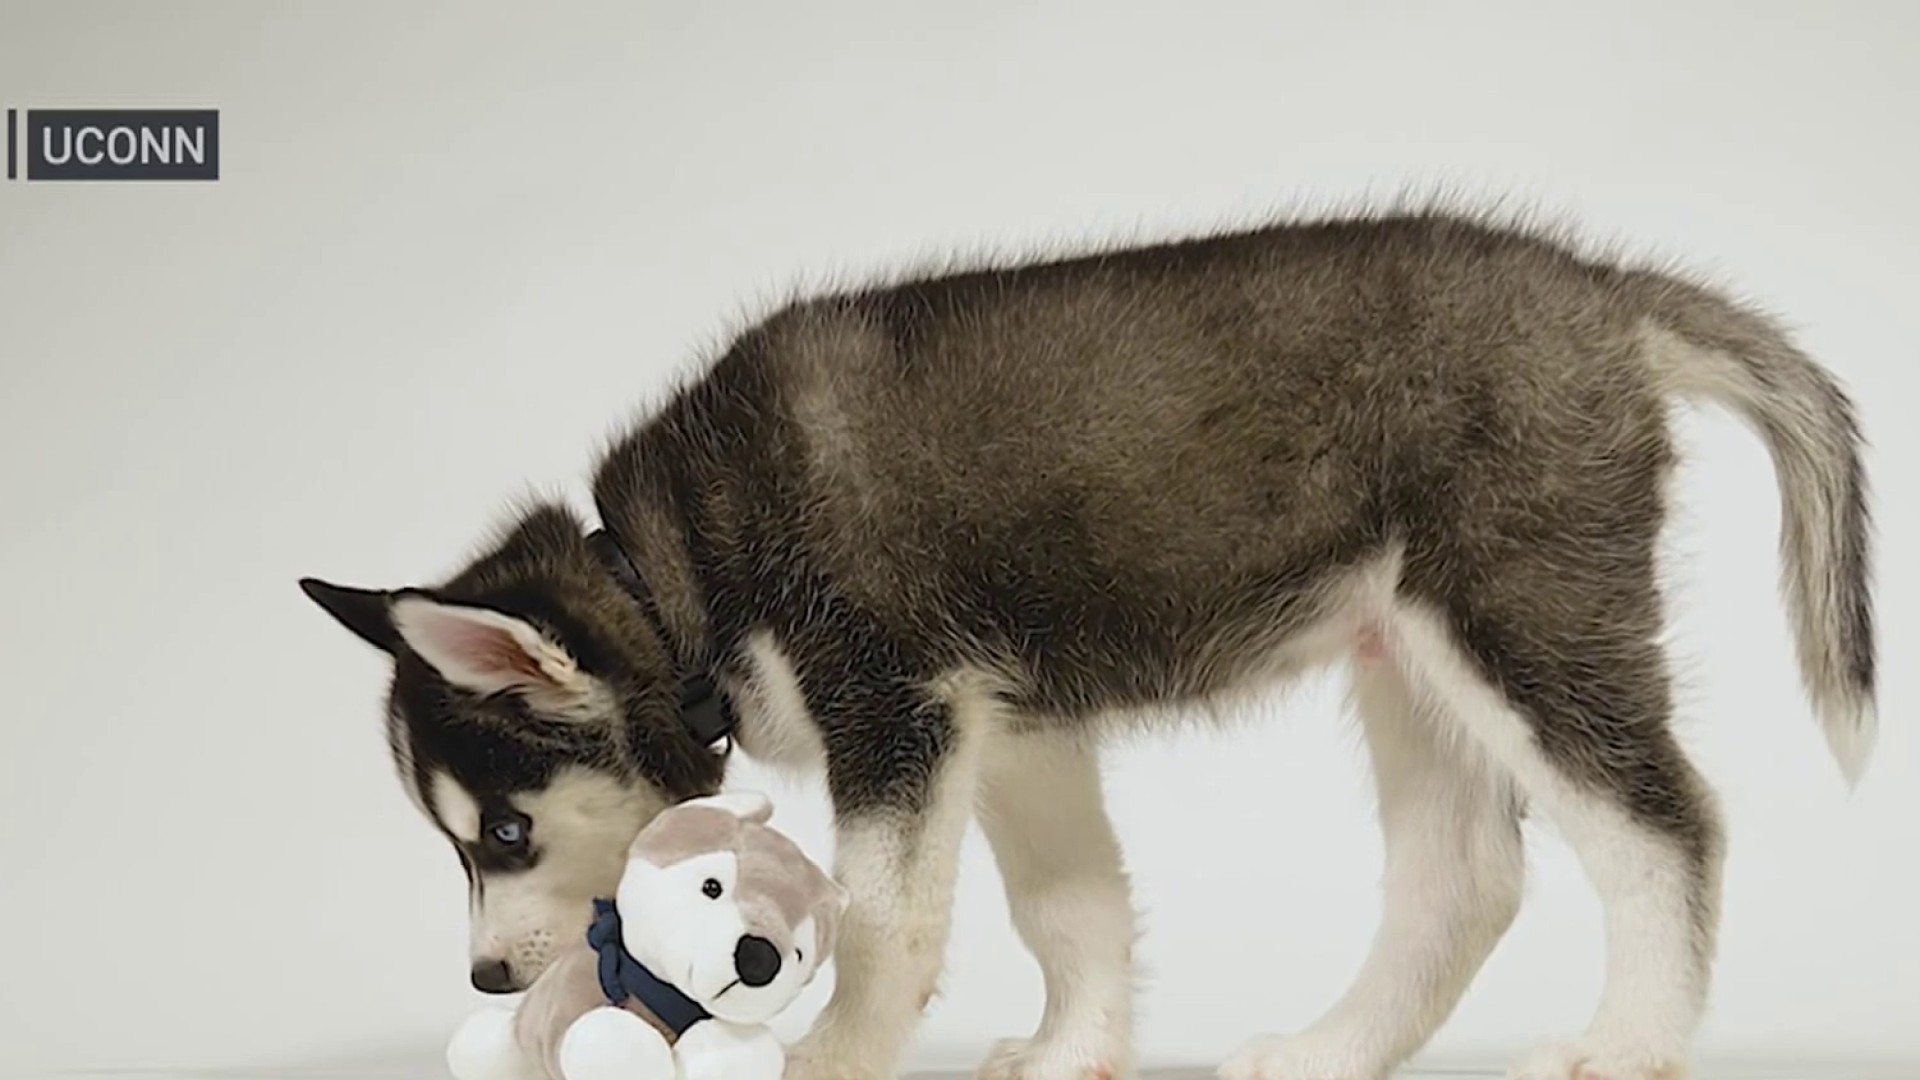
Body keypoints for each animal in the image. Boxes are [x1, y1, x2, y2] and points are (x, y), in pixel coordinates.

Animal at [303, 208, 1873, 1076]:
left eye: (502, 834)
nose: (485, 983)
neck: (670, 574)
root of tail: (1604, 292)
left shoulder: (897, 710)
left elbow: (886, 926)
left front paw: (832, 1060)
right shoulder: (1008, 725)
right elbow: (1070, 907)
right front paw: (1080, 1052)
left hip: (1518, 614)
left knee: (1668, 826)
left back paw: (1632, 1044)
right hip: (1405, 648)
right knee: (1466, 879)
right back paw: (1329, 1052)